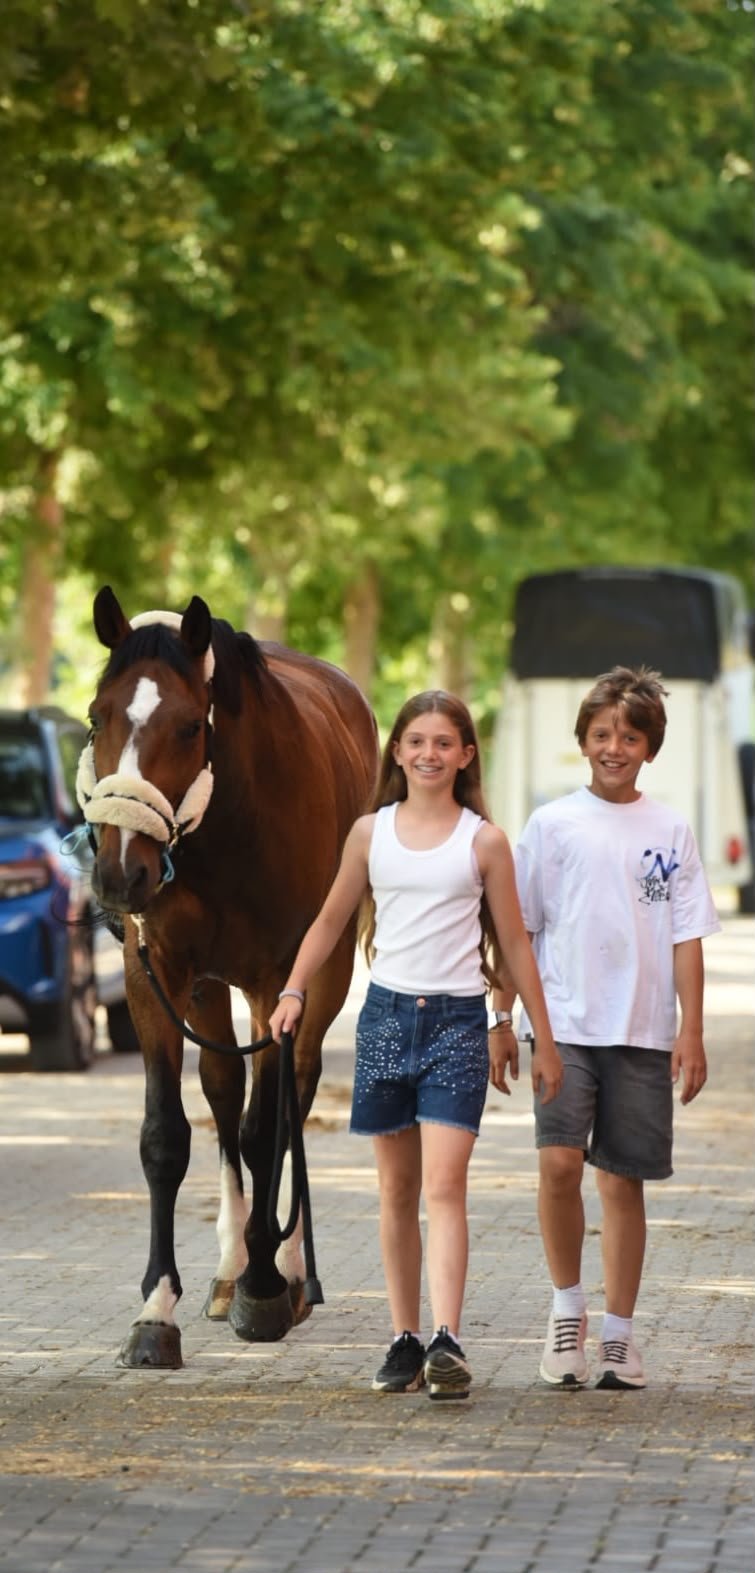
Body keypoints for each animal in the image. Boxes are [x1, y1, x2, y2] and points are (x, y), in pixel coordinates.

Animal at [79, 586, 378, 1368]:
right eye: (96, 716)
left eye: (190, 726)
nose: (120, 871)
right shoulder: (154, 972)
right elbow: (166, 1135)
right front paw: (157, 1310)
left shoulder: (281, 979)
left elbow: (263, 1129)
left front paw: (267, 1287)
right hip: (210, 986)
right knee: (222, 1089)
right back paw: (227, 1267)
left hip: (318, 978)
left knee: (293, 1092)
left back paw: (288, 1271)